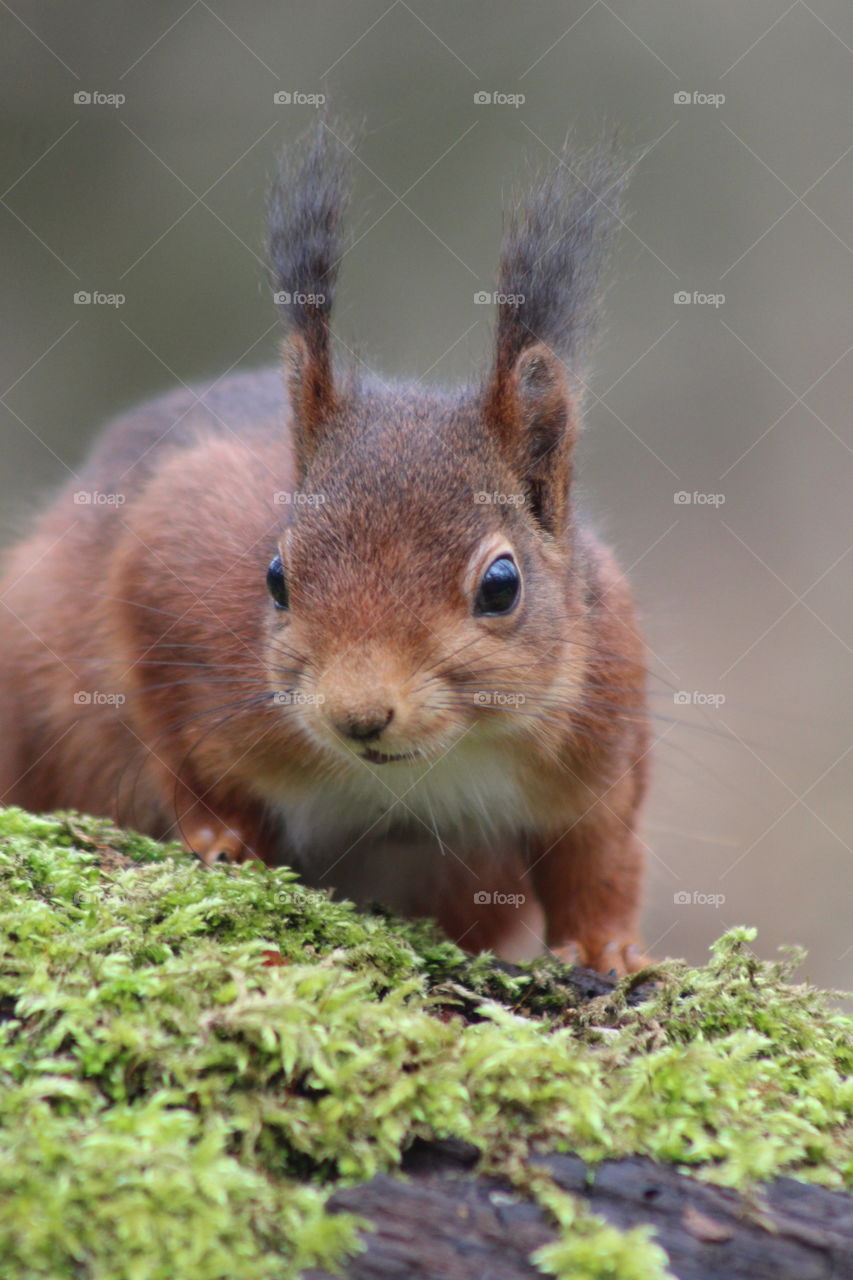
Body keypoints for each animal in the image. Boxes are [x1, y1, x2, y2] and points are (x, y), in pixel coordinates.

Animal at [0, 123, 651, 974]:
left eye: (502, 585)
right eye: (275, 577)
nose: (358, 716)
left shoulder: (605, 720)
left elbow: (598, 855)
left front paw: (608, 952)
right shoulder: (167, 574)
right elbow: (187, 752)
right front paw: (222, 839)